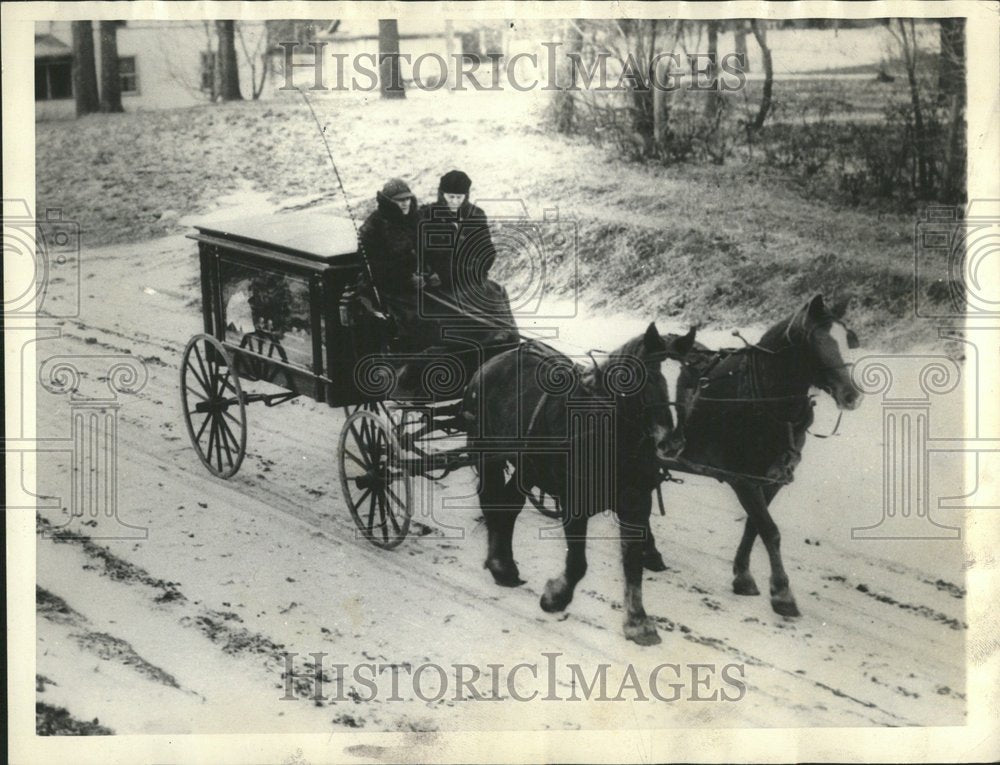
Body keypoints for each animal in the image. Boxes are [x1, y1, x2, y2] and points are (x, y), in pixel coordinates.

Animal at [462, 322, 692, 644]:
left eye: (689, 382)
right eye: (649, 378)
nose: (672, 443)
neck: (607, 430)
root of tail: (495, 360)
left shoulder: (636, 503)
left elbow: (633, 563)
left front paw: (637, 621)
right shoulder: (575, 503)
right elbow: (578, 564)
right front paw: (555, 597)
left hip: (528, 465)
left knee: (508, 504)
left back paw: (502, 565)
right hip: (488, 453)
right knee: (493, 500)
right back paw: (500, 564)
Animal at [648, 296, 860, 616]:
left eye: (847, 339)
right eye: (815, 343)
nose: (851, 395)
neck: (761, 400)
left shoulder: (770, 478)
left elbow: (754, 525)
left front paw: (743, 576)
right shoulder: (742, 478)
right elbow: (769, 530)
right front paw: (782, 593)